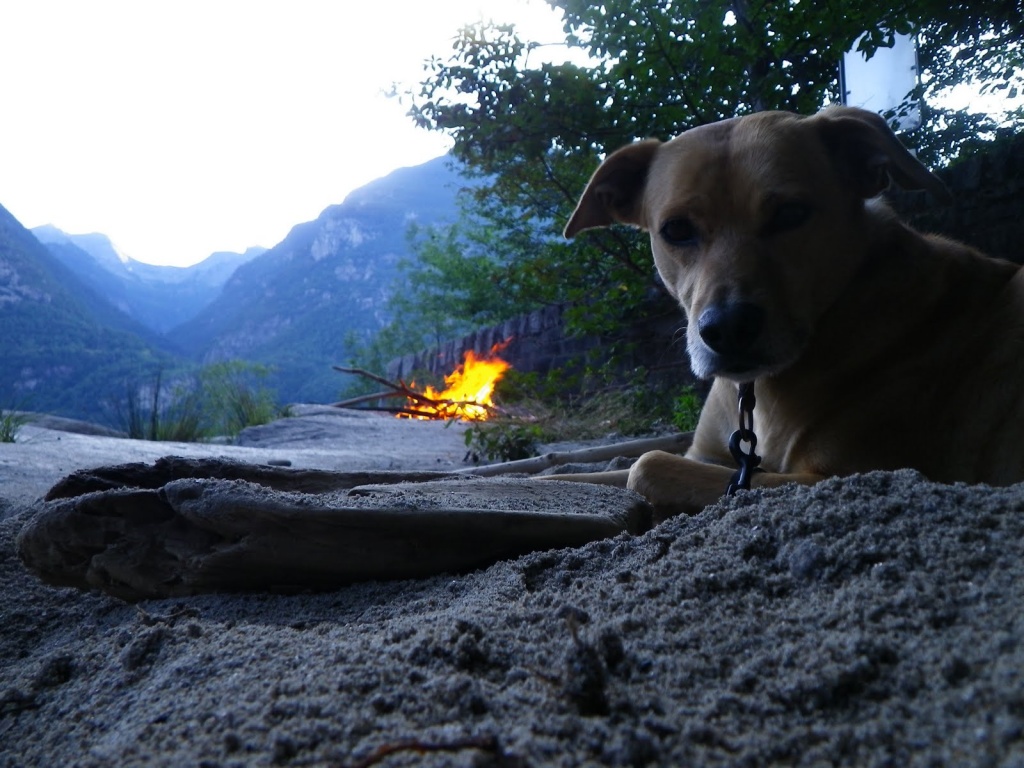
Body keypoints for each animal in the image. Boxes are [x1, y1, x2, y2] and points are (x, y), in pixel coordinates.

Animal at [561, 105, 1024, 520]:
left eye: (791, 214)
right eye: (676, 229)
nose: (728, 329)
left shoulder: (842, 477)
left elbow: (647, 465)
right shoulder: (705, 454)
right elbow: (584, 476)